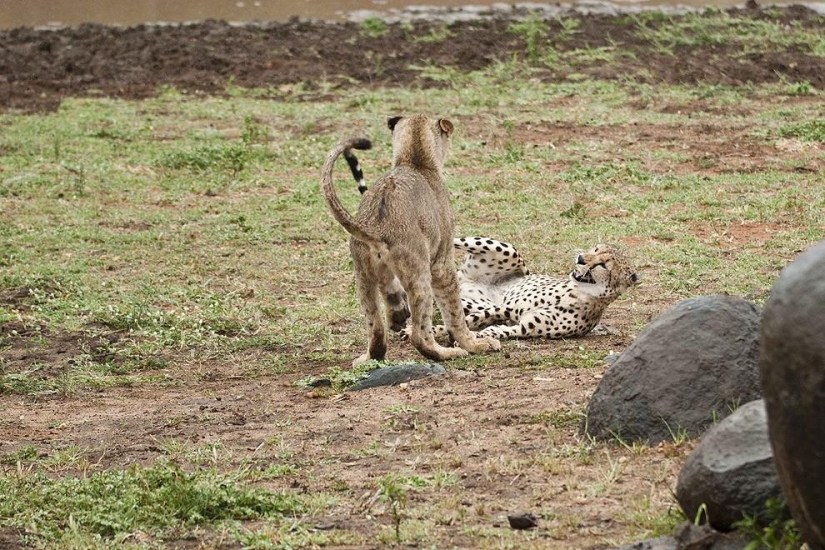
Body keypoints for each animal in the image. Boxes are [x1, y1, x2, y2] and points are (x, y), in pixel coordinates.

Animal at [422, 237, 640, 340]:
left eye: (603, 265)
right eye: (595, 249)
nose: (580, 258)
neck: (578, 294)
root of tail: (463, 278)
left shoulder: (520, 325)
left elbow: (493, 329)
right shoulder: (506, 308)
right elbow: (466, 322)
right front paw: (432, 331)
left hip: (470, 299)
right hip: (506, 249)